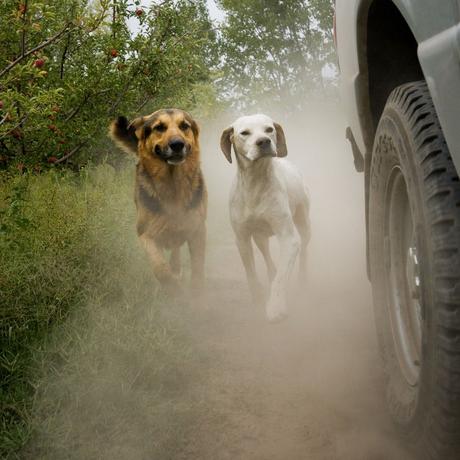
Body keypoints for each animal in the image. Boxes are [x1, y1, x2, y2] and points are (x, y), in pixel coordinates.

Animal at [109, 109, 207, 298]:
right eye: (159, 127)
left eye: (184, 126)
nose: (177, 144)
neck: (173, 185)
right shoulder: (146, 235)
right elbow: (160, 270)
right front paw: (175, 291)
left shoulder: (197, 230)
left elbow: (198, 268)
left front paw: (196, 294)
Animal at [221, 113, 310, 322]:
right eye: (244, 133)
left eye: (269, 129)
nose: (263, 141)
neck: (256, 184)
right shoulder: (242, 239)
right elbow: (251, 273)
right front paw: (257, 296)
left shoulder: (289, 239)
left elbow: (280, 279)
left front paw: (276, 306)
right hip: (260, 237)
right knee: (267, 256)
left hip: (304, 223)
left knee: (303, 249)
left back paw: (303, 277)